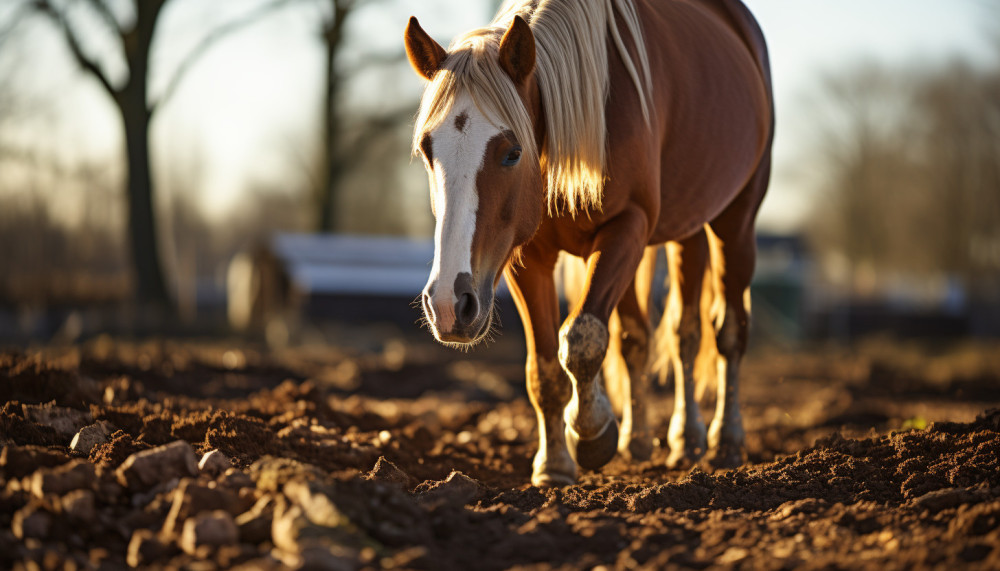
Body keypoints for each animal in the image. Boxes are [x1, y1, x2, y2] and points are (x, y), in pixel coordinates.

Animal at [404, 0, 773, 486]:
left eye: (512, 152)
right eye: (428, 152)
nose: (448, 304)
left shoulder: (627, 225)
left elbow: (581, 337)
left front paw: (592, 434)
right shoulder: (528, 257)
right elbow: (544, 368)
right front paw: (554, 465)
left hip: (737, 221)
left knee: (729, 330)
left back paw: (726, 441)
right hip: (687, 228)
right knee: (676, 335)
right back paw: (673, 439)